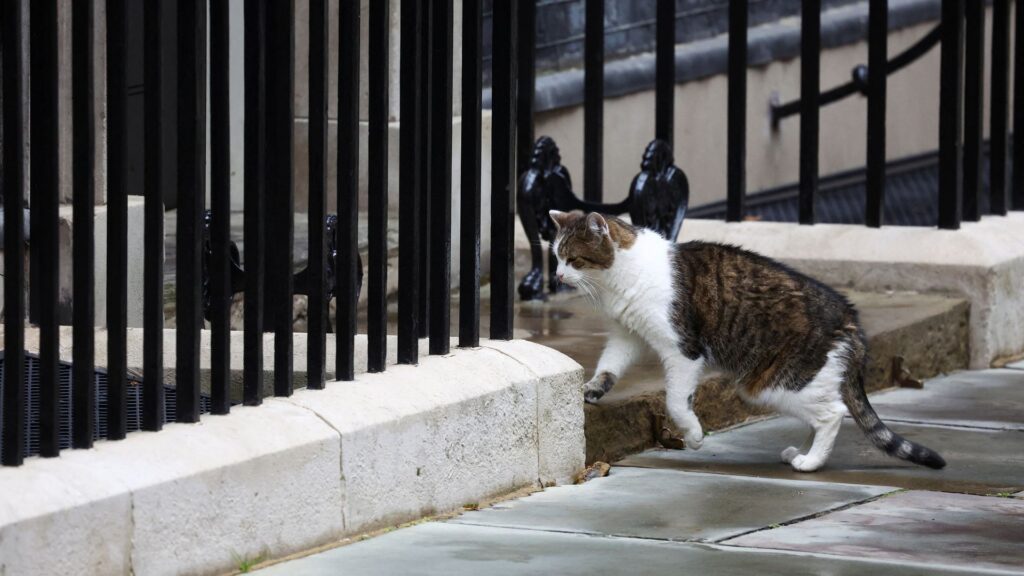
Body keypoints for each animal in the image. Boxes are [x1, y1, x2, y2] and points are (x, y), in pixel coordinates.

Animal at [552, 210, 942, 471]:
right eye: (555, 256)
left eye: (573, 259)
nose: (556, 276)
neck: (619, 278)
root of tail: (850, 320)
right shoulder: (628, 334)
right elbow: (609, 366)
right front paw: (592, 390)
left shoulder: (682, 350)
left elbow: (677, 401)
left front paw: (693, 436)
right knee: (820, 415)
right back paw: (801, 452)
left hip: (773, 383)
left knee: (833, 413)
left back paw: (811, 462)